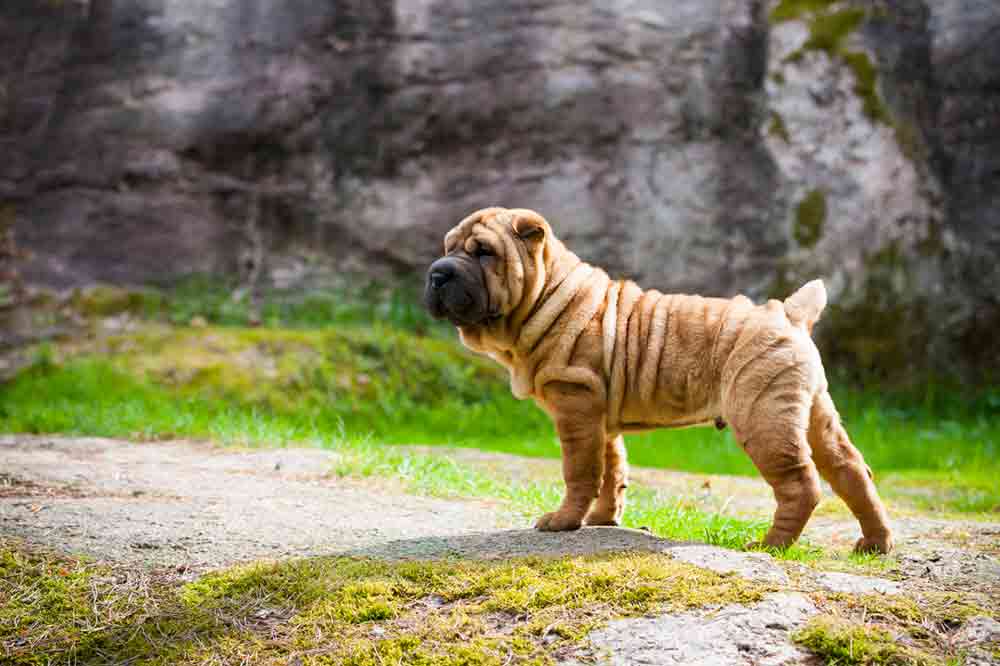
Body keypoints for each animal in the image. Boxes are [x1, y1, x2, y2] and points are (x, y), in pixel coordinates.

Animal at [426, 206, 896, 548]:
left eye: (484, 252)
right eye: (447, 247)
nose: (437, 272)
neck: (546, 297)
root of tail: (790, 314)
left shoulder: (575, 403)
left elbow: (579, 471)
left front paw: (564, 521)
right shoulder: (598, 414)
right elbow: (612, 470)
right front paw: (602, 519)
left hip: (763, 414)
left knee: (801, 483)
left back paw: (771, 545)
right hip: (815, 411)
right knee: (852, 471)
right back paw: (874, 544)